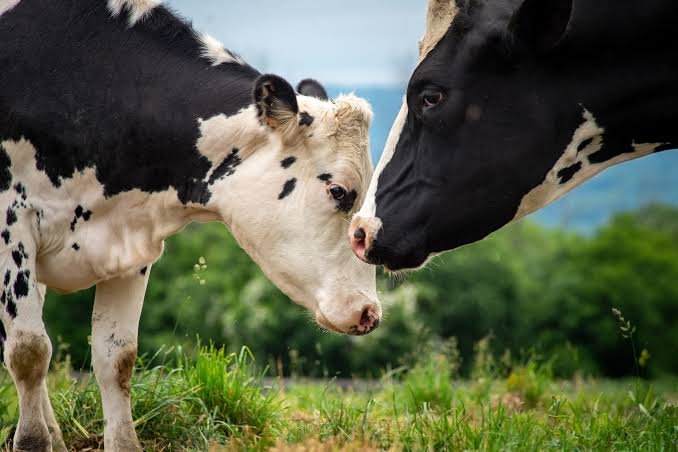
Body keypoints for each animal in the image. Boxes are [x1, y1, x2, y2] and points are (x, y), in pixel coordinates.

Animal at [0, 0, 380, 450]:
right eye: (338, 191)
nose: (370, 312)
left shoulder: (128, 241)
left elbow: (116, 356)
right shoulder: (11, 226)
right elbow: (28, 350)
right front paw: (31, 440)